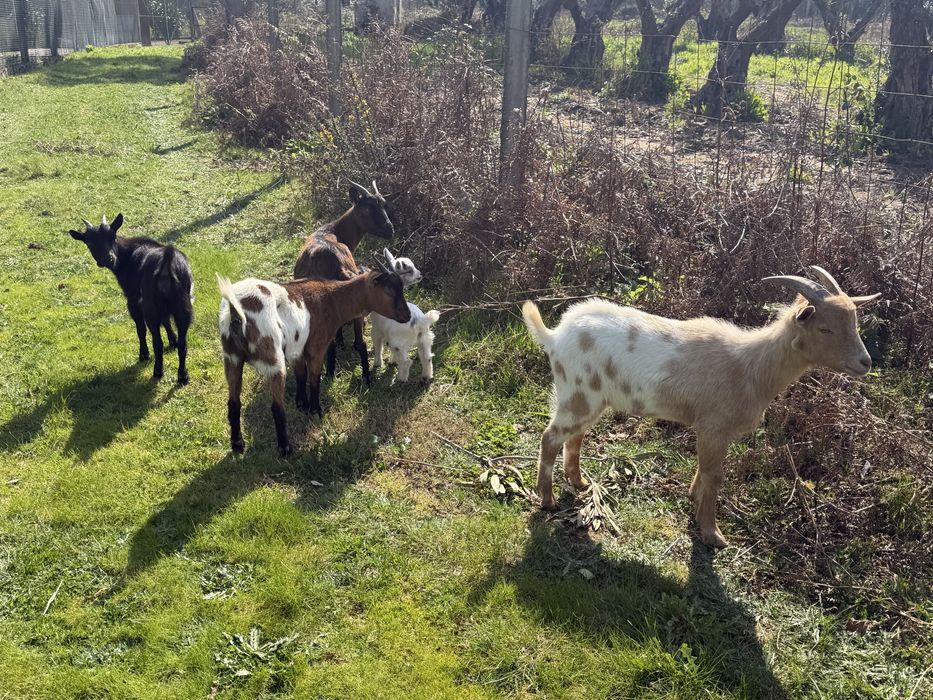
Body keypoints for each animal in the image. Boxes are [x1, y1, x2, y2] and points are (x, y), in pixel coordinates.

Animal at [69, 214, 193, 384]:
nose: (108, 258)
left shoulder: (133, 299)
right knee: (183, 343)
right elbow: (166, 321)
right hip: (183, 305)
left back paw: (157, 371)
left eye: (112, 236)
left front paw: (144, 355)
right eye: (89, 243)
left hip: (151, 307)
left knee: (157, 341)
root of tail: (167, 262)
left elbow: (140, 328)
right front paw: (172, 341)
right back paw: (182, 376)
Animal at [217, 270, 411, 455]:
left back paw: (237, 445)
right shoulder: (316, 348)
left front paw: (302, 404)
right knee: (277, 407)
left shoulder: (297, 348)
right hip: (273, 358)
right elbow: (314, 380)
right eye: (389, 291)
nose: (407, 316)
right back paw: (285, 449)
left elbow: (301, 375)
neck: (332, 300)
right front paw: (316, 410)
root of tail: (236, 312)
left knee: (233, 402)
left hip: (232, 357)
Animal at [293, 180, 396, 384]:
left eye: (384, 205)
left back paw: (330, 373)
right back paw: (366, 377)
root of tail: (336, 263)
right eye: (367, 210)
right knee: (361, 342)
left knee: (332, 343)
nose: (390, 229)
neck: (333, 231)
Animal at [523, 266, 880, 548]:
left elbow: (704, 472)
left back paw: (579, 482)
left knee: (575, 436)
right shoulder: (714, 426)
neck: (751, 366)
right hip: (577, 394)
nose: (865, 362)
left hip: (590, 398)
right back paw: (547, 500)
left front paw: (694, 501)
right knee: (550, 438)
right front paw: (711, 533)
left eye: (854, 322)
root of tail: (555, 336)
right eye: (825, 328)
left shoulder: (710, 429)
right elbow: (714, 475)